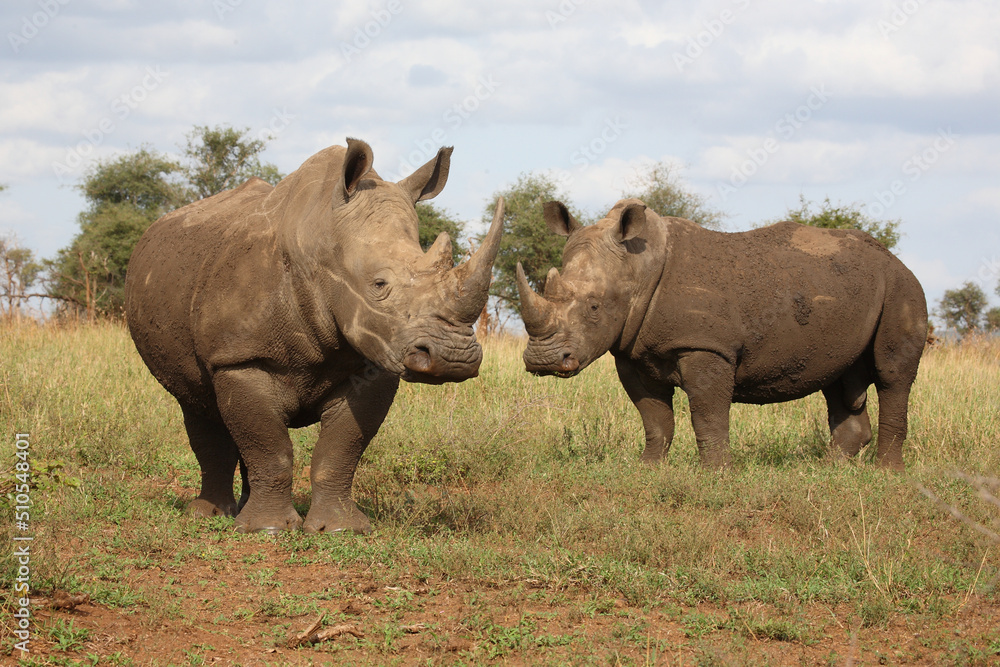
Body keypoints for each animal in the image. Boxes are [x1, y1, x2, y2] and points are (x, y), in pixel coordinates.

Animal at [125, 138, 503, 534]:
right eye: (379, 285)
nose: (454, 358)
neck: (322, 243)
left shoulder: (375, 361)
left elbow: (340, 449)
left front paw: (342, 529)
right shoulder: (238, 357)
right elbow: (270, 447)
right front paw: (267, 530)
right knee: (197, 406)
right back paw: (210, 515)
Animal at [517, 199, 927, 470]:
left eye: (594, 307)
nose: (543, 360)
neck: (637, 266)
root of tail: (894, 258)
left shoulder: (706, 346)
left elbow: (707, 412)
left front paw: (715, 473)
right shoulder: (631, 349)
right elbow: (654, 415)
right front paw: (648, 468)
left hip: (902, 288)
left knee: (892, 376)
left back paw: (885, 474)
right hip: (846, 296)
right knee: (839, 379)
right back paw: (827, 471)